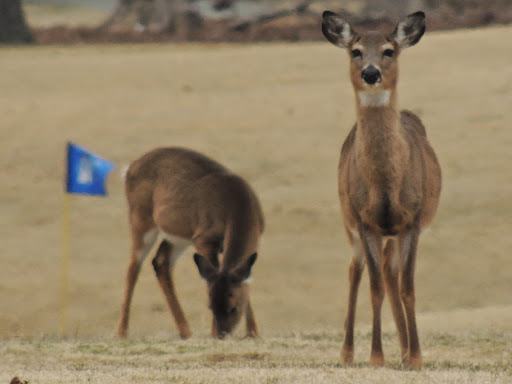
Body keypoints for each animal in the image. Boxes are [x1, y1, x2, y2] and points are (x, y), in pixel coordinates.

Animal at [117, 147, 262, 340]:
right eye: (210, 306)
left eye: (234, 307)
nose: (222, 334)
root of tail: (130, 168)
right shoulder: (204, 239)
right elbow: (211, 279)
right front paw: (215, 332)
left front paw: (253, 333)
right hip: (141, 220)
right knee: (133, 267)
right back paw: (122, 332)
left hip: (178, 237)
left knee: (160, 261)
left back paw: (185, 331)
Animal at [322, 10, 442, 368]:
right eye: (356, 51)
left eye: (389, 50)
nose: (371, 72)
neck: (387, 187)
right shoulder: (366, 222)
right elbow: (373, 287)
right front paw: (377, 357)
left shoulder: (412, 221)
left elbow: (408, 287)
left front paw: (415, 357)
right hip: (349, 222)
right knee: (356, 271)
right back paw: (348, 352)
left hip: (395, 233)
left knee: (392, 273)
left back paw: (404, 348)